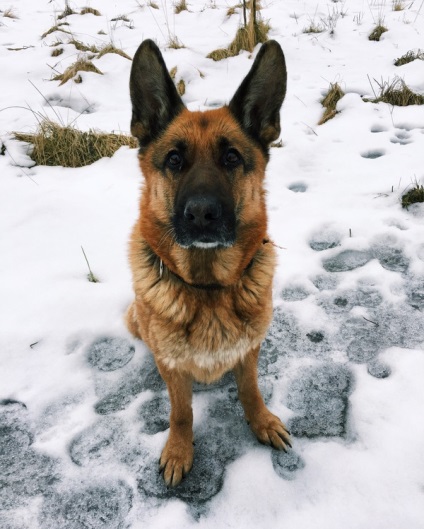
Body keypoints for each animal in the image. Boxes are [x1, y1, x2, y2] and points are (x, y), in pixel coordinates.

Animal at [125, 38, 292, 486]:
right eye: (174, 160)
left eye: (232, 158)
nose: (201, 214)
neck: (208, 287)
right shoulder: (173, 369)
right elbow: (181, 413)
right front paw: (179, 451)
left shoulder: (249, 351)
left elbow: (250, 390)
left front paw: (262, 422)